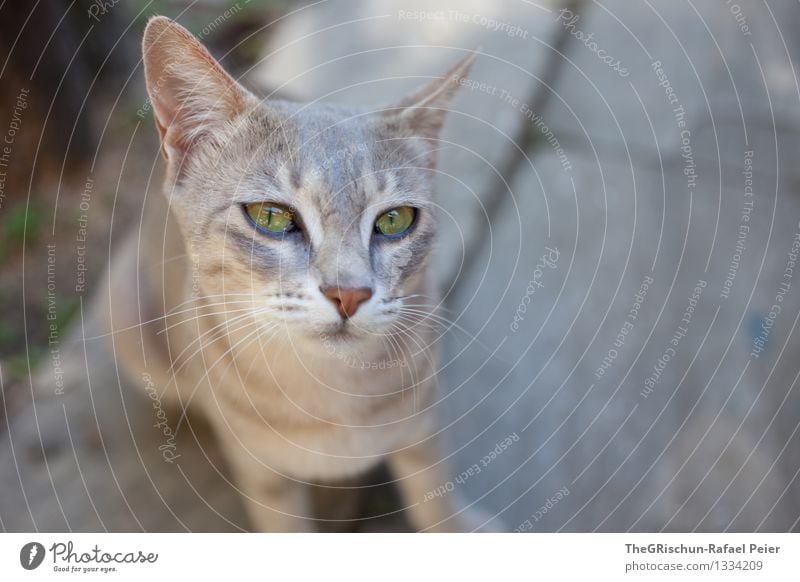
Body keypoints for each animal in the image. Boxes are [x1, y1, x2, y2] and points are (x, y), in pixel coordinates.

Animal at [108, 14, 494, 532]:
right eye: (270, 216)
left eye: (395, 220)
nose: (349, 293)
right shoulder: (264, 474)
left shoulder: (424, 426)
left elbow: (434, 496)